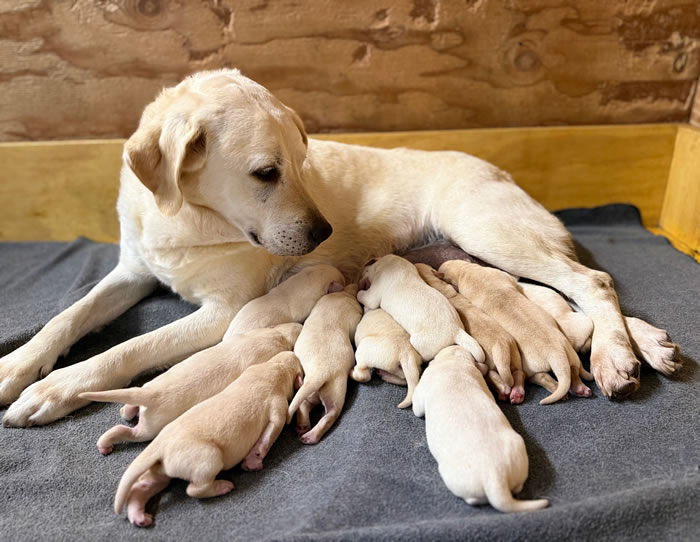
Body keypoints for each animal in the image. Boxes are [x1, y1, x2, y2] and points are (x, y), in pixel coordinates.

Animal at [79, 323, 301, 454]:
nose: (299, 324)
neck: (275, 335)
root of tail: (150, 395)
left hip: (150, 387)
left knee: (127, 415)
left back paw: (123, 415)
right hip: (150, 428)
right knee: (132, 433)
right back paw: (106, 443)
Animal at [114, 351, 303, 527]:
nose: (291, 352)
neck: (275, 369)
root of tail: (159, 445)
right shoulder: (278, 406)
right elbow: (272, 431)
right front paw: (253, 461)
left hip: (162, 468)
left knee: (144, 485)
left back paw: (139, 516)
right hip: (208, 458)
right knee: (194, 489)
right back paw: (223, 486)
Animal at [288, 284, 362, 444]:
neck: (344, 294)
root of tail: (320, 372)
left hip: (329, 388)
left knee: (311, 407)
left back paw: (304, 432)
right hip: (336, 387)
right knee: (329, 412)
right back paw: (307, 434)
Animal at [357, 255, 486, 365]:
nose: (360, 281)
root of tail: (456, 331)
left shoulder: (373, 295)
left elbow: (363, 296)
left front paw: (358, 292)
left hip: (419, 342)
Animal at [413, 346, 549, 513]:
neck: (454, 362)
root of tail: (496, 476)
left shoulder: (422, 393)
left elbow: (417, 407)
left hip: (454, 477)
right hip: (518, 452)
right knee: (518, 485)